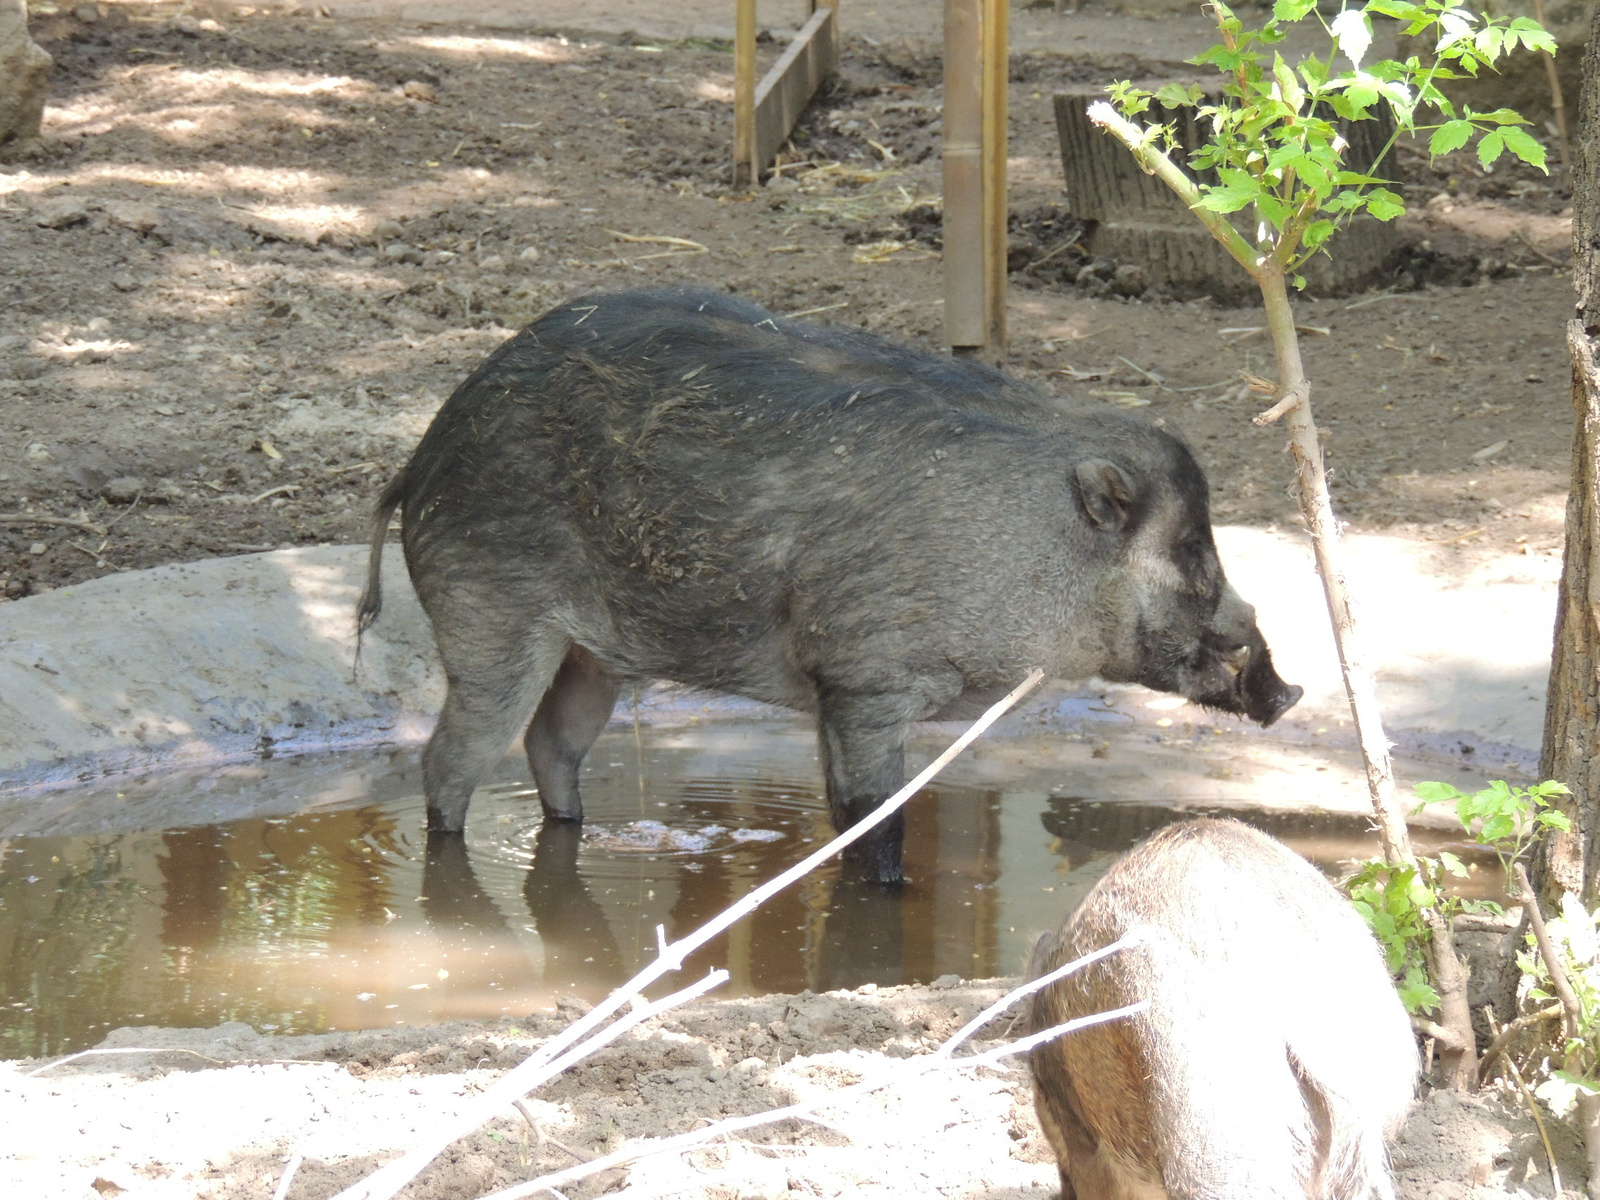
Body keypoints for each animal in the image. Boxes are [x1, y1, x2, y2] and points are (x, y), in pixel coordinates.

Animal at [360, 284, 1299, 876]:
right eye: (1191, 548)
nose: (1287, 691)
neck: (1030, 546)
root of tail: (420, 459)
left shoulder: (831, 694)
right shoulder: (864, 678)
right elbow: (871, 818)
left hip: (589, 656)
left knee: (551, 745)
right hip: (490, 617)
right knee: (453, 759)